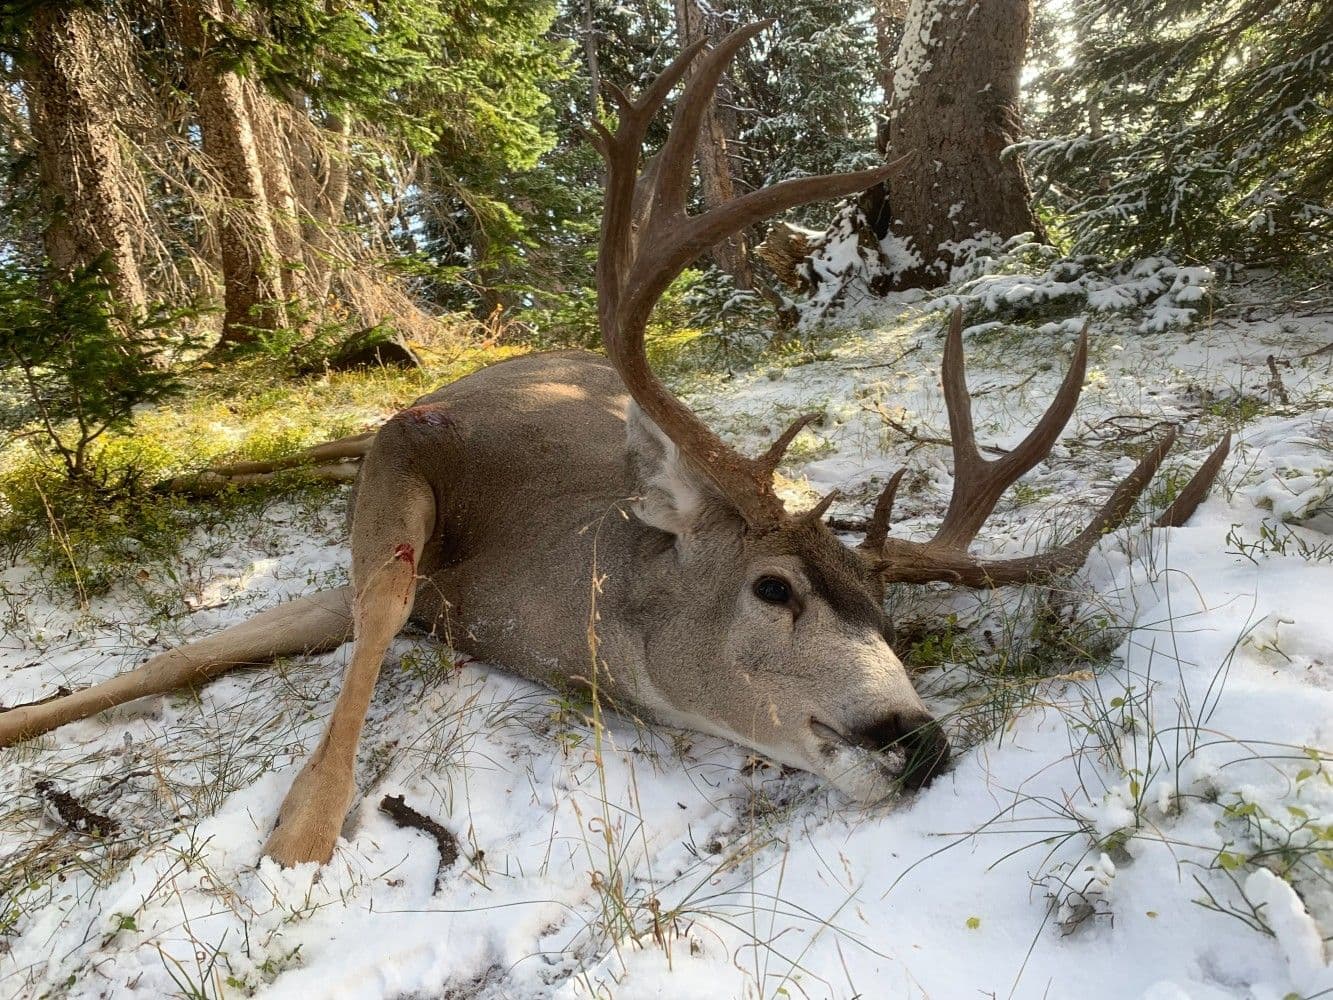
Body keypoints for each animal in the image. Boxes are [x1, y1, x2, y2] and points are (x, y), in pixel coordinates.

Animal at [0, 24, 1229, 868]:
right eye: (774, 587)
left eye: (891, 619)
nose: (914, 739)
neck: (520, 585)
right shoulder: (417, 443)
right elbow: (358, 605)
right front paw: (298, 835)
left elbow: (202, 655)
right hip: (400, 412)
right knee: (302, 450)